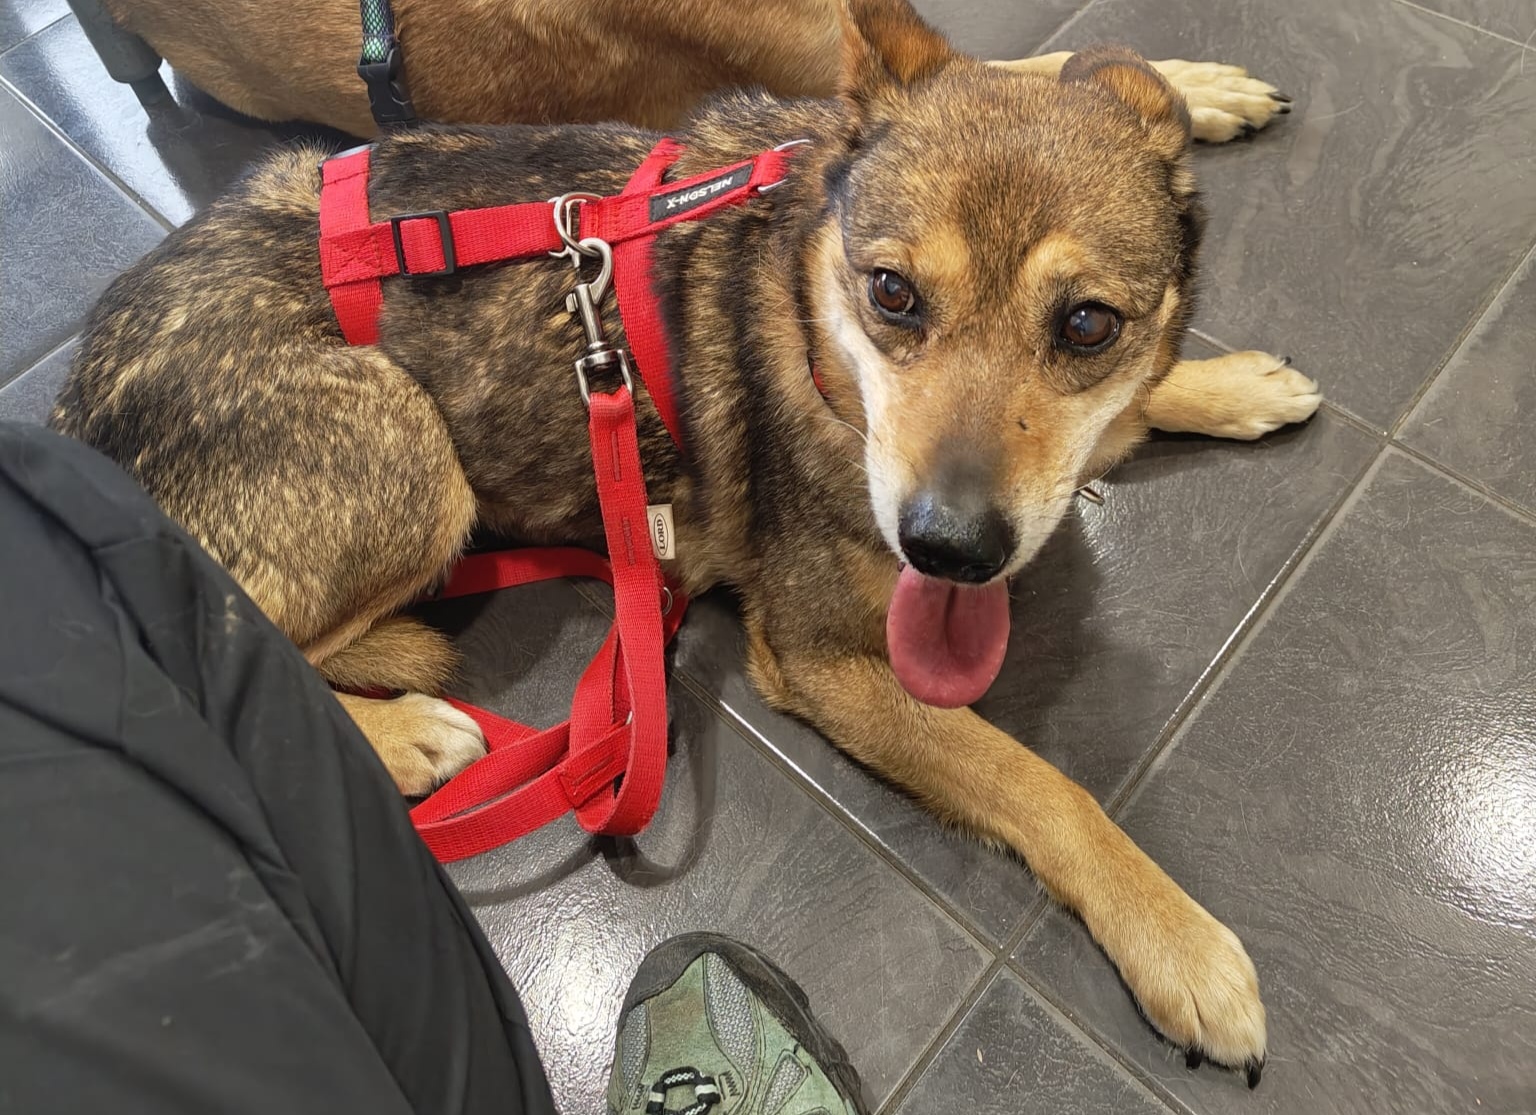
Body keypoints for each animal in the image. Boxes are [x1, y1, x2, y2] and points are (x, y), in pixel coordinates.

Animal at [53, 2, 1320, 1083]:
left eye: (1089, 324)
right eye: (893, 295)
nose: (949, 548)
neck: (807, 310)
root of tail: (70, 405)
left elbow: (1140, 399)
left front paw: (1227, 383)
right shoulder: (823, 659)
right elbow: (1042, 783)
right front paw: (1177, 943)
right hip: (405, 445)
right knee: (227, 634)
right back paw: (405, 730)